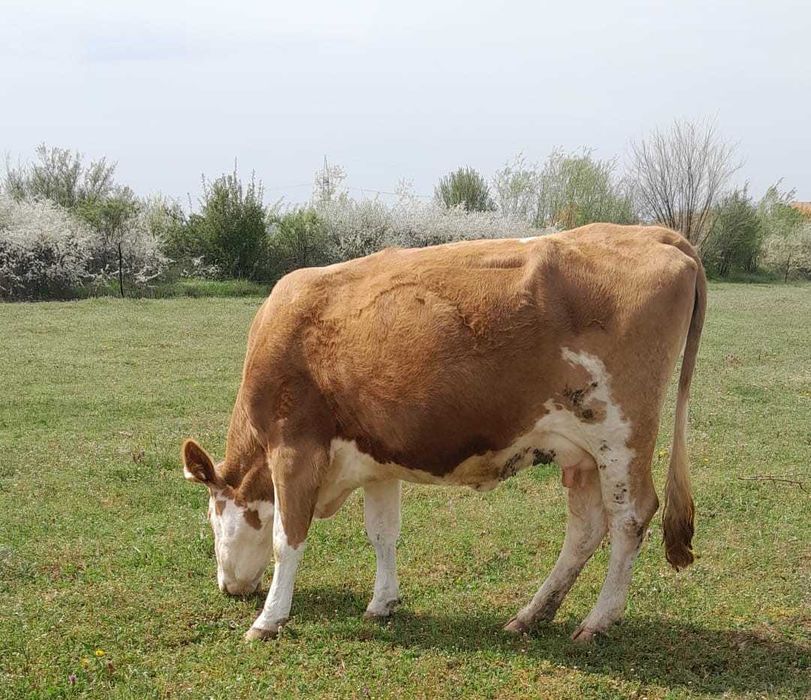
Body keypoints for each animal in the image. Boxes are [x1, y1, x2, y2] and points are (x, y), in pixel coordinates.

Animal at [181, 223, 706, 643]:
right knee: (586, 528)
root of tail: (654, 233)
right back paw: (532, 615)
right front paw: (383, 603)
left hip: (620, 437)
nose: (228, 587)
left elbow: (286, 539)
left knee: (630, 518)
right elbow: (383, 533)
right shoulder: (376, 460)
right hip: (581, 452)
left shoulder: (293, 448)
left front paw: (268, 620)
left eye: (211, 517)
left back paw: (597, 621)